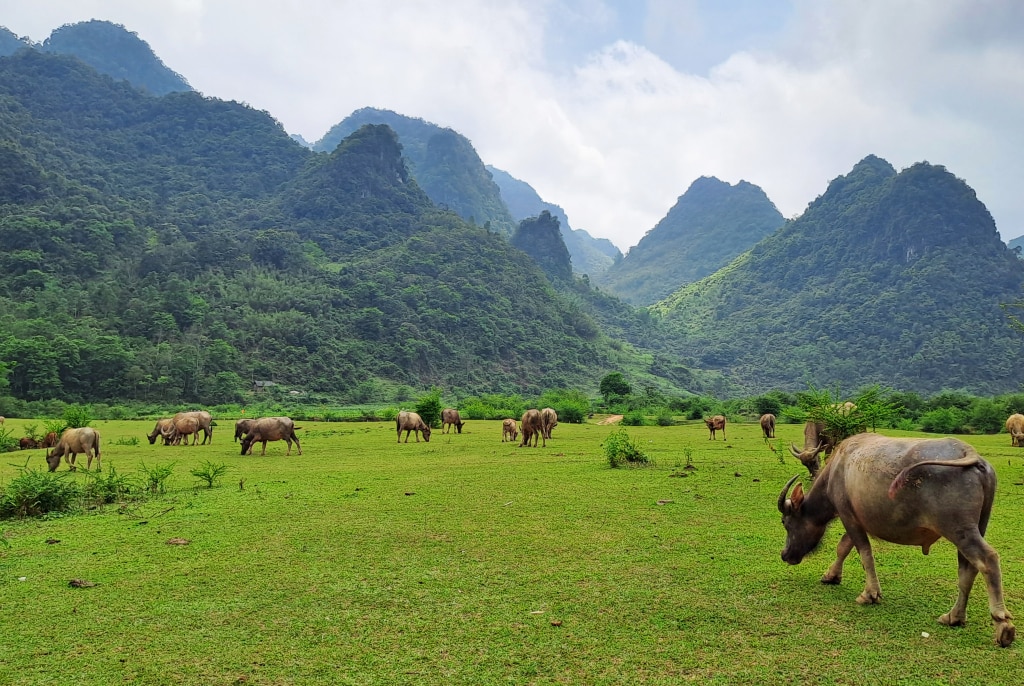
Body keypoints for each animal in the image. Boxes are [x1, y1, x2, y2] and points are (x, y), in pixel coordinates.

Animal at [778, 436, 1011, 651]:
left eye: (785, 522)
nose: (785, 554)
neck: (836, 469)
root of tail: (969, 453)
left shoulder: (847, 515)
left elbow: (864, 552)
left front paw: (869, 594)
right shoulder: (857, 519)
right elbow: (844, 547)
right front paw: (831, 575)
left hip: (959, 529)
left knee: (987, 559)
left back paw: (1003, 624)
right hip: (977, 526)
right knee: (968, 567)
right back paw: (954, 616)